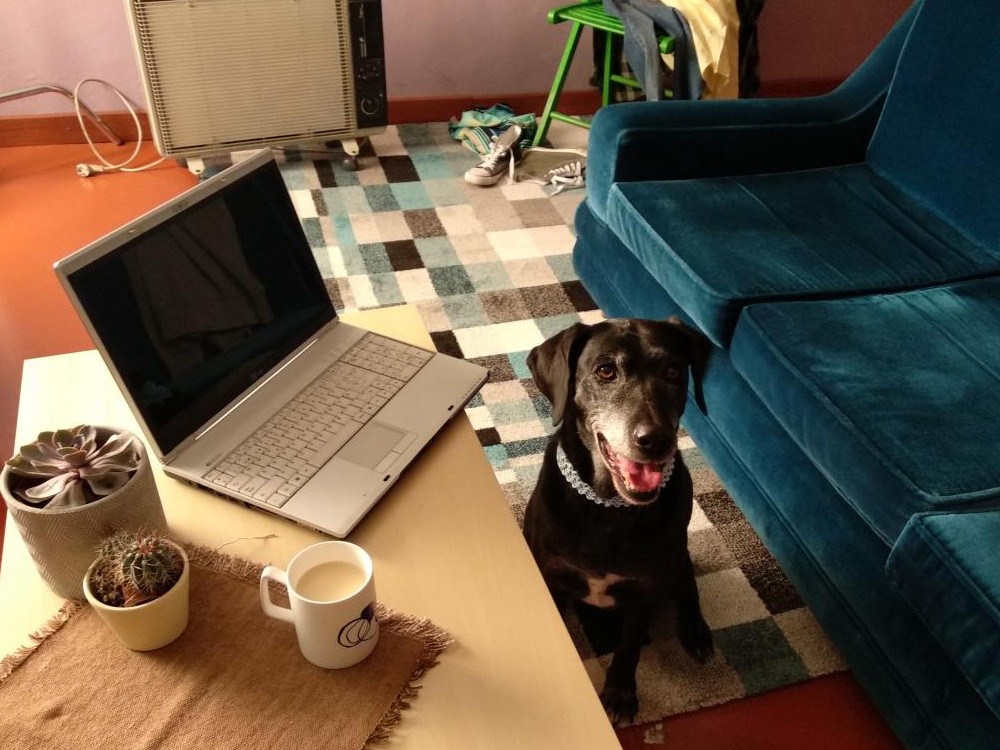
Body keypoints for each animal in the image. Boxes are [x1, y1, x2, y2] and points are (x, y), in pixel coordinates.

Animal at [523, 317, 714, 724]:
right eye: (605, 370)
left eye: (673, 371)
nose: (655, 440)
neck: (607, 506)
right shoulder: (550, 577)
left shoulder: (644, 591)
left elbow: (628, 648)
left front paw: (620, 695)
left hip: (678, 559)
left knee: (688, 582)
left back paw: (695, 631)